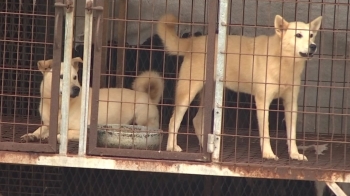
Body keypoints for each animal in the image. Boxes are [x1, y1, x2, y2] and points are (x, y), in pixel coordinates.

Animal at [20, 57, 164, 143]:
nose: (77, 89)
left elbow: (63, 134)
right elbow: (40, 129)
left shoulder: (83, 131)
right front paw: (31, 135)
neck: (60, 106)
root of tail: (149, 97)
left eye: (75, 77)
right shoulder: (48, 124)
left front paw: (57, 136)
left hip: (142, 115)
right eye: (61, 76)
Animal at [158, 14, 322, 161]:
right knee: (173, 121)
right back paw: (172, 147)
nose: (313, 46)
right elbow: (266, 132)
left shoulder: (291, 104)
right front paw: (268, 154)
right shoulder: (262, 102)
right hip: (187, 93)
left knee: (197, 120)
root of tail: (194, 41)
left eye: (311, 35)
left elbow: (292, 134)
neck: (284, 63)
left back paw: (206, 149)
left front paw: (294, 154)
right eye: (298, 35)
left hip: (212, 97)